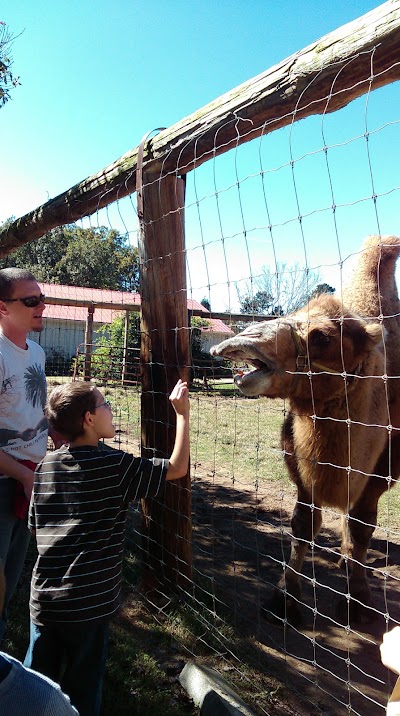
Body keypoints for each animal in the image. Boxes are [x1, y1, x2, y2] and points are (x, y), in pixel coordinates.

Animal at [209, 238, 400, 624]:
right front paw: (285, 598)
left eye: (322, 336)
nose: (234, 344)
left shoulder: (383, 470)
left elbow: (362, 525)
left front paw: (359, 601)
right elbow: (304, 524)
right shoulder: (300, 464)